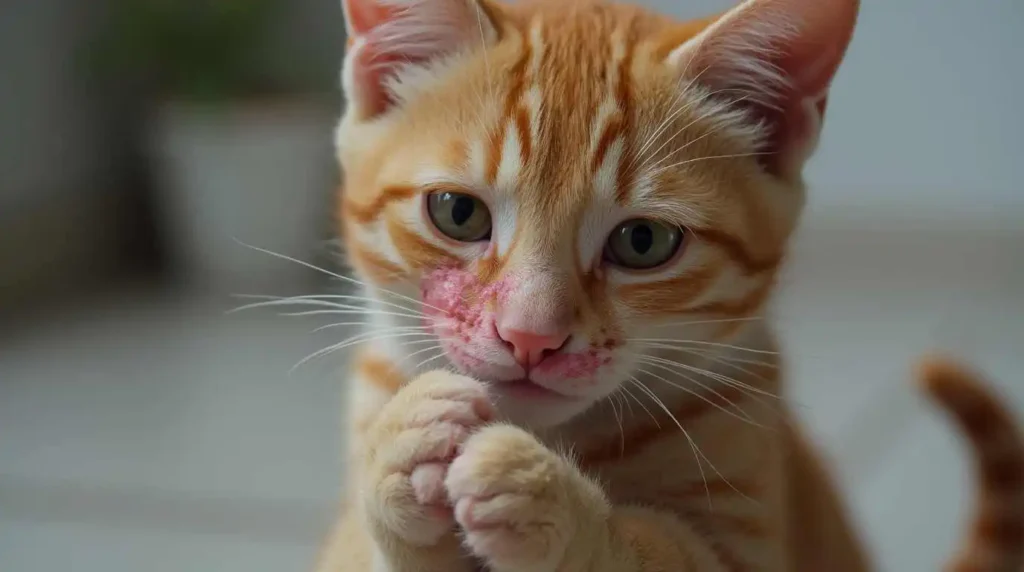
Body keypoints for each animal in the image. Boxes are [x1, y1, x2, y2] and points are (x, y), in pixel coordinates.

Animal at [313, 0, 1024, 568]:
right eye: (458, 213)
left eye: (643, 242)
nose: (529, 336)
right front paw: (398, 450)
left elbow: (657, 550)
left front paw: (549, 497)